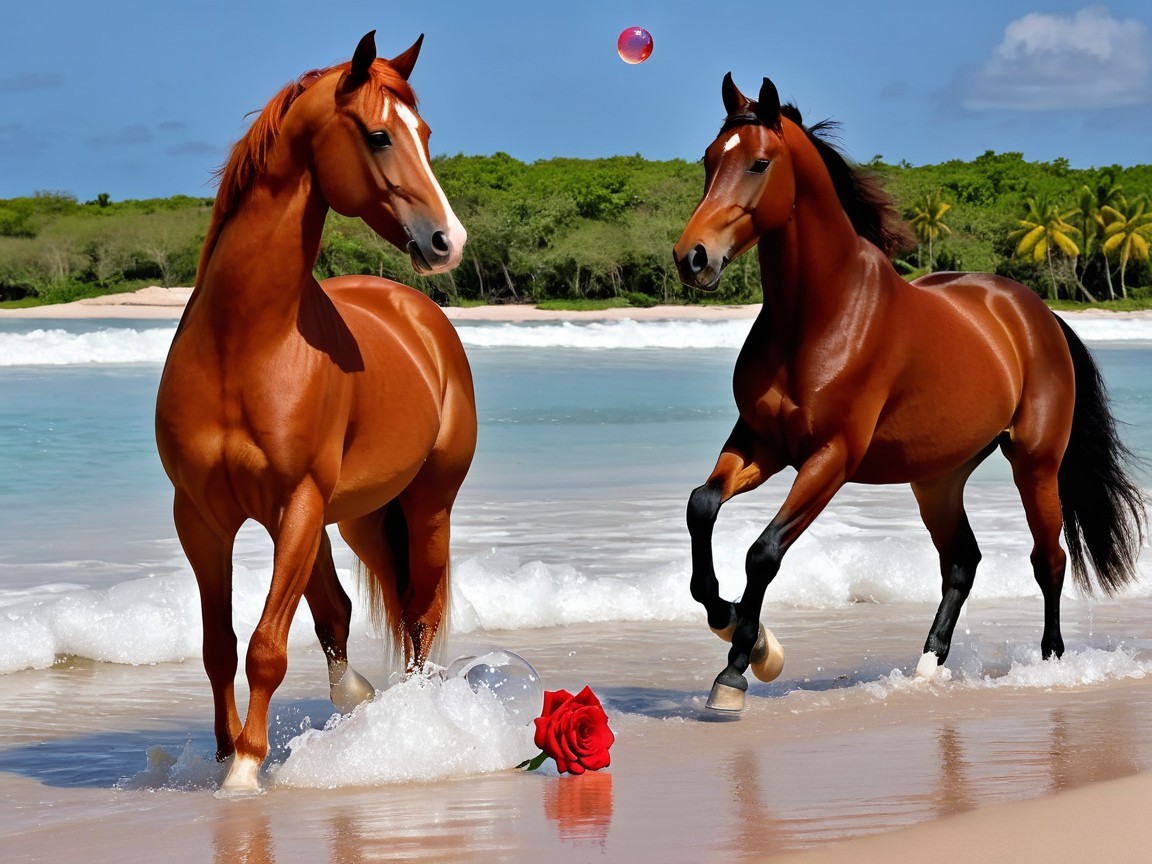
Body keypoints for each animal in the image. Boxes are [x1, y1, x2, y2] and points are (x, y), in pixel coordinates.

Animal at [155, 32, 476, 792]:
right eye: (381, 134)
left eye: (426, 133)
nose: (449, 241)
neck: (243, 344)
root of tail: (418, 313)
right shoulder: (201, 517)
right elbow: (220, 644)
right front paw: (225, 754)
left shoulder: (296, 500)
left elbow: (267, 646)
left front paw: (245, 770)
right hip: (356, 518)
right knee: (345, 609)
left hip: (424, 506)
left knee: (418, 617)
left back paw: (408, 728)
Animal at [672, 74, 1147, 713]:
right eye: (708, 160)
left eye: (759, 163)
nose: (692, 258)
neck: (819, 316)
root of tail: (1035, 313)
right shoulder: (761, 443)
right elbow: (702, 506)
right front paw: (731, 624)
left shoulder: (830, 458)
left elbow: (763, 552)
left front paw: (741, 666)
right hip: (937, 477)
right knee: (962, 562)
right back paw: (928, 665)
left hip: (1035, 464)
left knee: (1049, 560)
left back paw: (1050, 666)